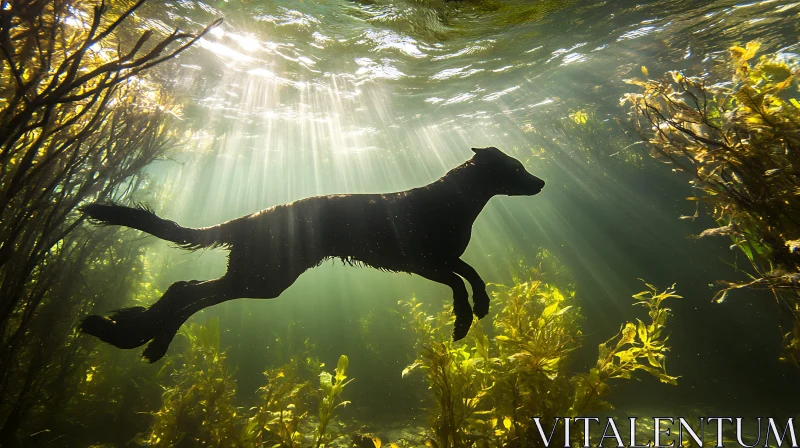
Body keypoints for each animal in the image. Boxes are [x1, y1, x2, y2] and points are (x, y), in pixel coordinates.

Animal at [79, 145, 544, 362]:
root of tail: (251, 217)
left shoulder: (441, 259)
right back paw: (126, 333)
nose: (541, 182)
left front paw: (481, 306)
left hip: (261, 276)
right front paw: (463, 321)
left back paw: (131, 334)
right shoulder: (422, 263)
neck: (452, 201)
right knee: (187, 291)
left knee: (187, 290)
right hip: (264, 277)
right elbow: (459, 282)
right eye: (517, 168)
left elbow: (473, 273)